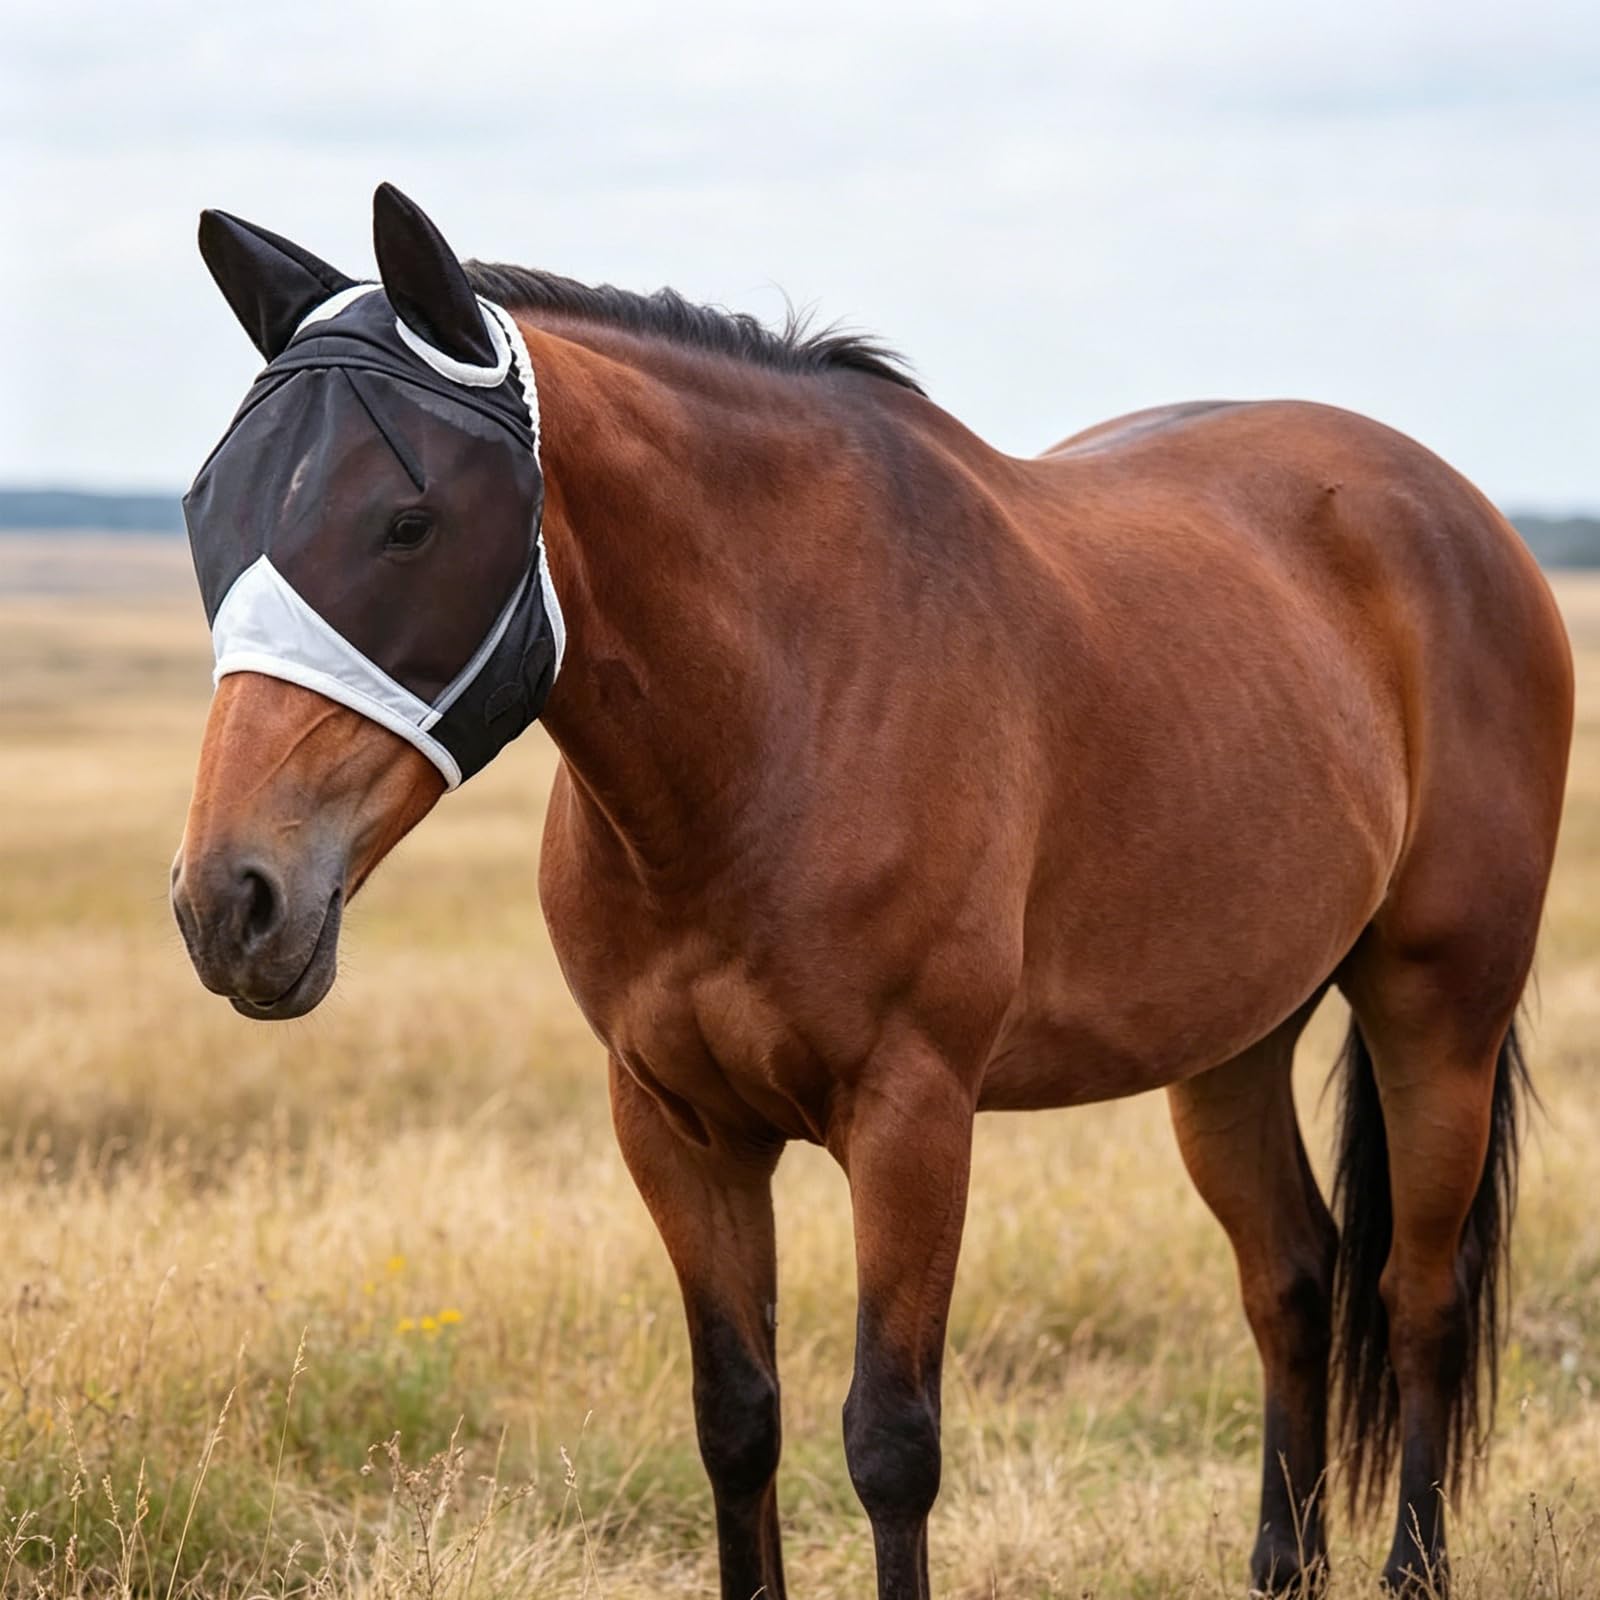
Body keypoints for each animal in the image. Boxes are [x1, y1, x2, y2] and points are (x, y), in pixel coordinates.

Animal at [170, 185, 1573, 1599]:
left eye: (409, 522)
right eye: (205, 511)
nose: (230, 903)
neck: (776, 715)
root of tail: (1459, 517)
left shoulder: (911, 1117)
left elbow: (890, 1441)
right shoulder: (674, 1123)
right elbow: (735, 1419)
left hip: (1436, 1009)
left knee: (1417, 1293)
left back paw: (1412, 1565)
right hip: (1231, 1037)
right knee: (1290, 1277)